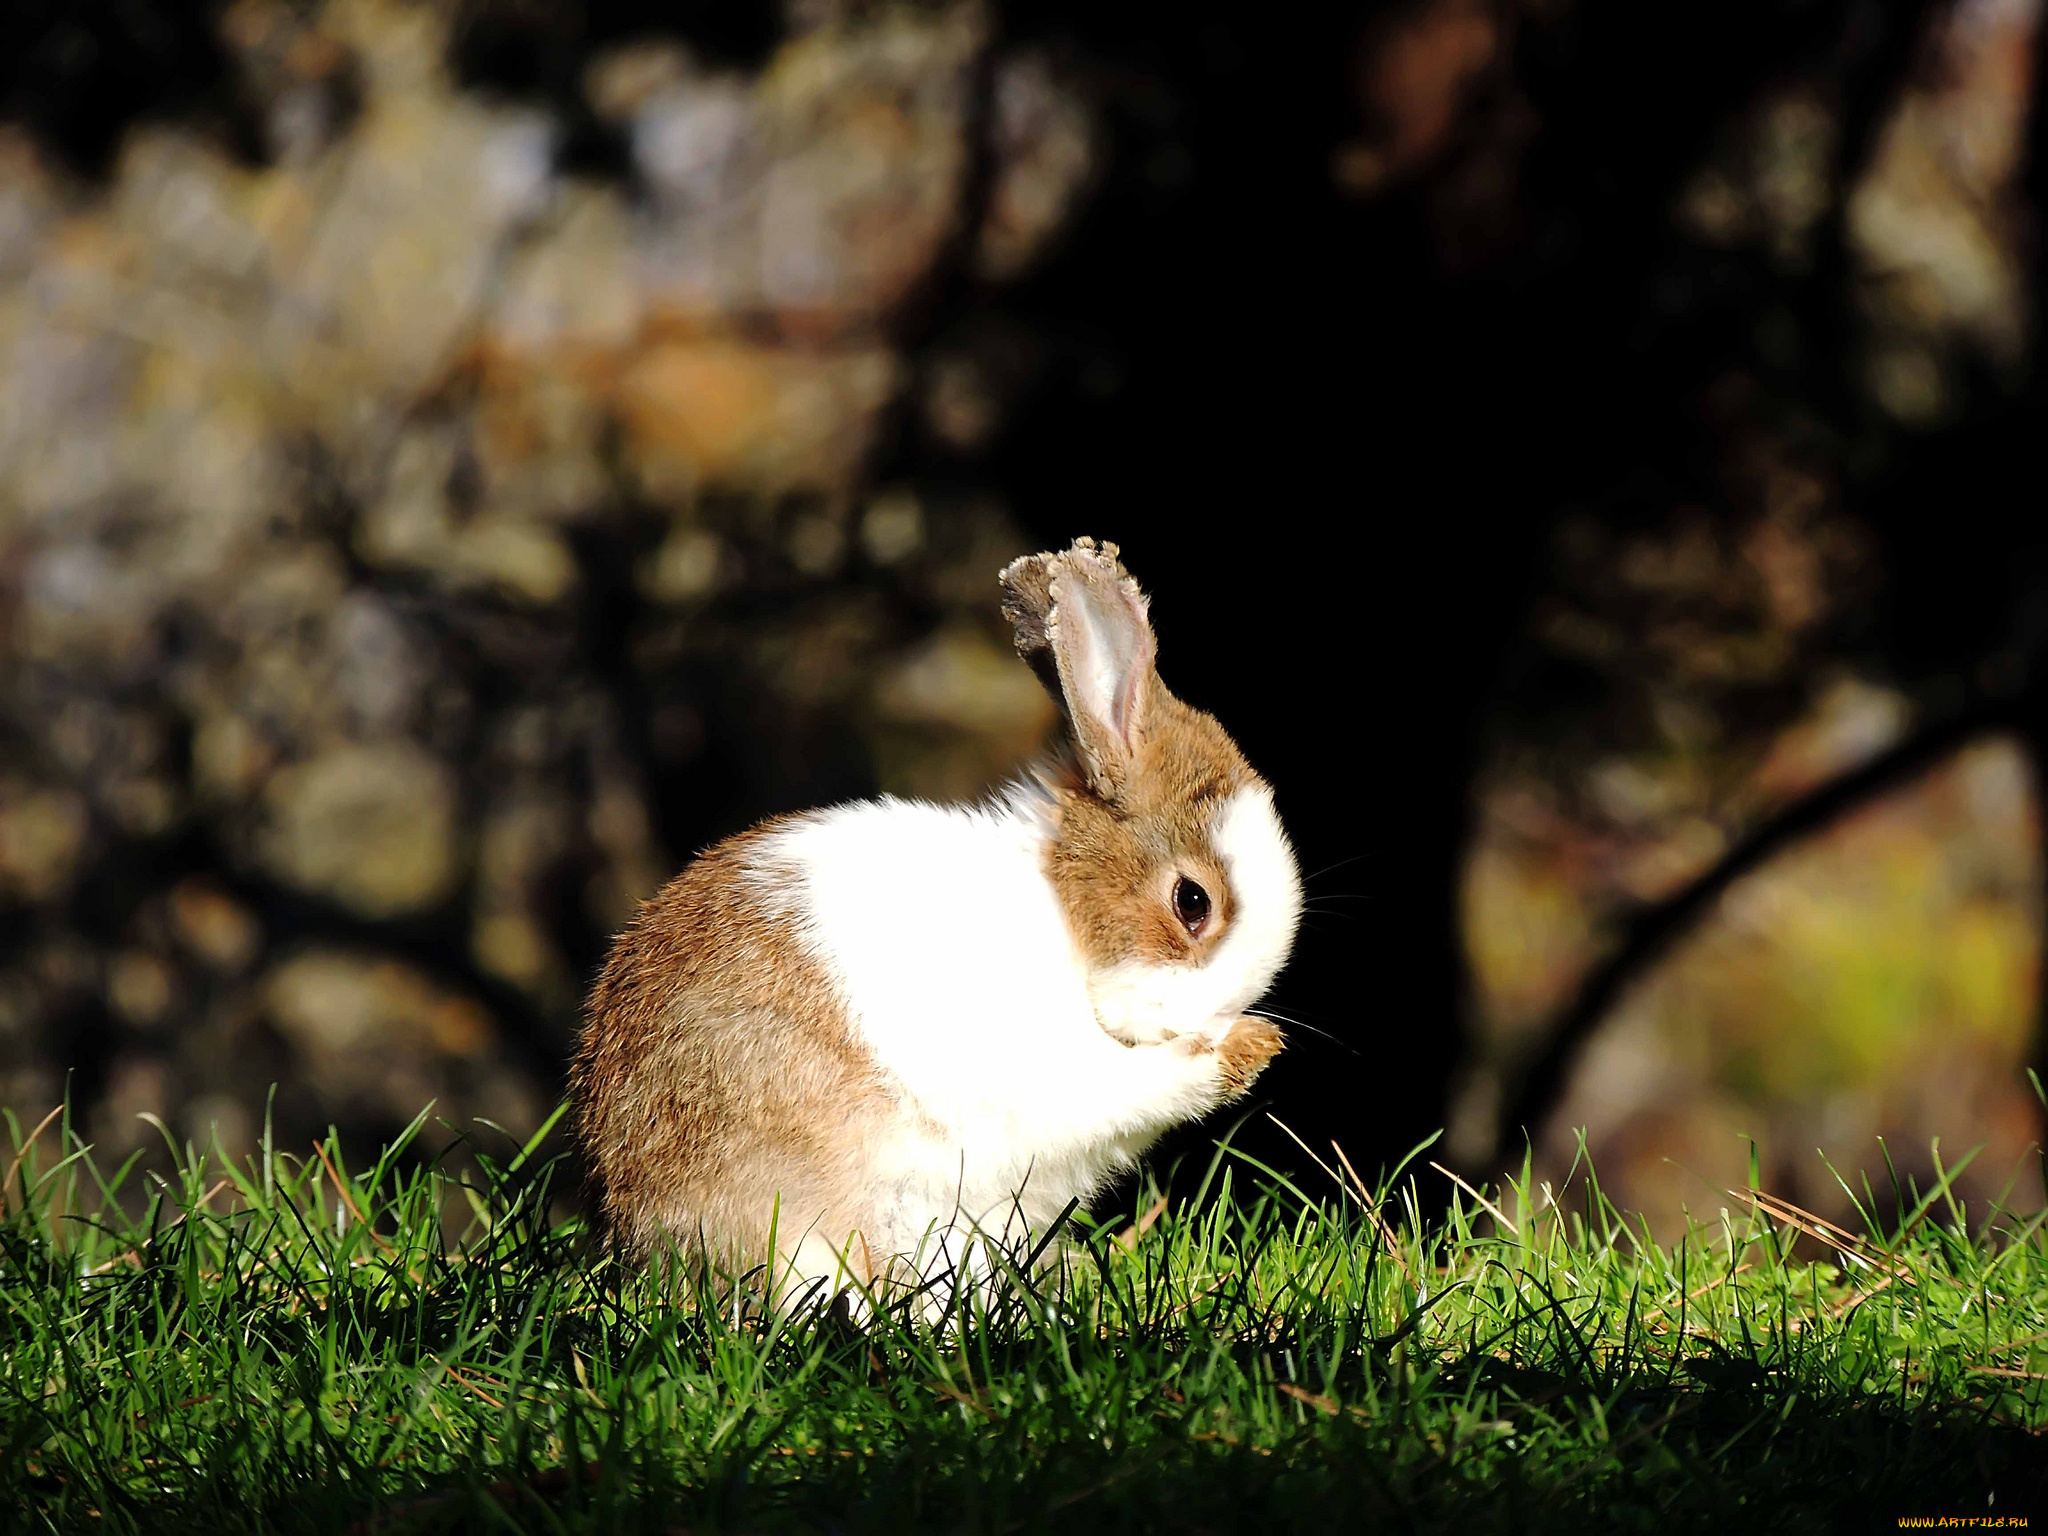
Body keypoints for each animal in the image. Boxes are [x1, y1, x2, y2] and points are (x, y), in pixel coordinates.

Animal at [569, 536, 1302, 1310]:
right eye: (1193, 902)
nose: (1212, 1021)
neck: (1059, 915)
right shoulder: (1046, 1073)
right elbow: (1134, 1085)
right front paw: (1249, 1048)